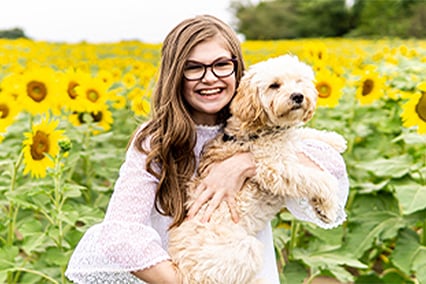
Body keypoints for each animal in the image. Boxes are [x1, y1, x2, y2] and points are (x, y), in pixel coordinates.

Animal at [167, 54, 346, 282]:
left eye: (299, 81)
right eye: (274, 85)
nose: (298, 96)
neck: (261, 130)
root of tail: (183, 271)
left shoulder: (287, 144)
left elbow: (301, 135)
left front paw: (334, 139)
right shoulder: (275, 168)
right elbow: (320, 179)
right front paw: (328, 207)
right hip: (245, 249)